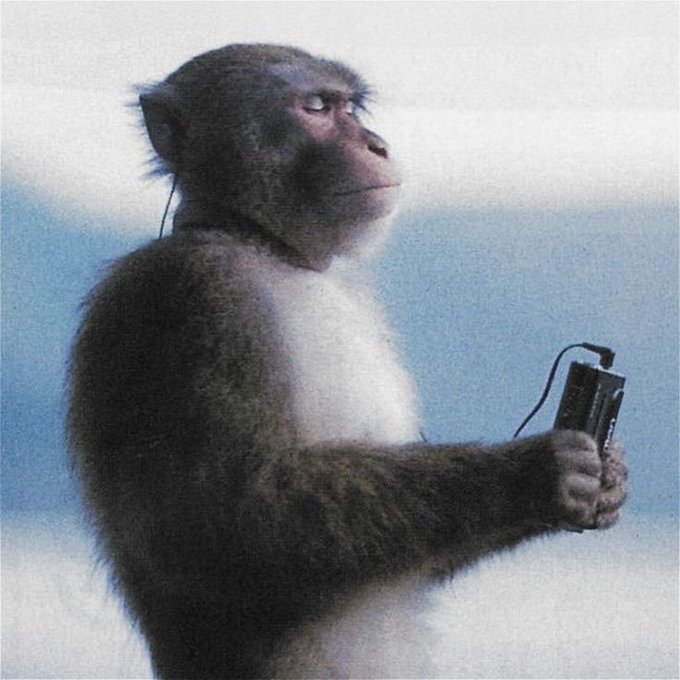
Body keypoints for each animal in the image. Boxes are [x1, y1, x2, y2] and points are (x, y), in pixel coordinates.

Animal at [67, 44, 628, 679]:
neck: (262, 244)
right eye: (316, 107)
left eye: (352, 108)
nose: (376, 144)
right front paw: (539, 472)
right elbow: (223, 529)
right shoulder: (193, 299)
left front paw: (608, 474)